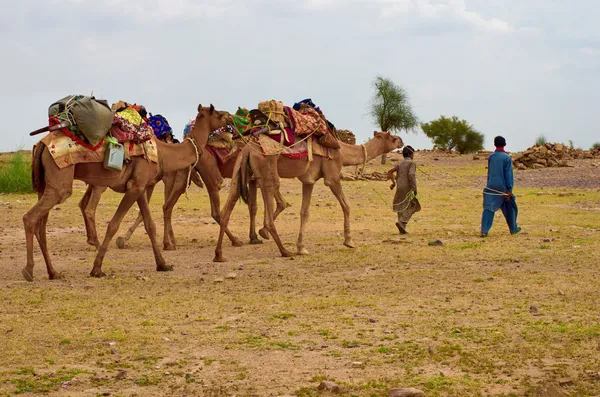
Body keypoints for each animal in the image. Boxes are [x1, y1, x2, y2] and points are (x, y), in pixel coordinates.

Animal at [22, 103, 230, 280]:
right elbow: (113, 225)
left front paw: (163, 264)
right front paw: (97, 269)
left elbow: (150, 226)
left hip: (46, 185)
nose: (230, 118)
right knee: (30, 218)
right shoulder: (135, 187)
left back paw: (53, 272)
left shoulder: (140, 186)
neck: (162, 152)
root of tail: (40, 145)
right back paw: (29, 270)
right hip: (60, 183)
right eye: (218, 114)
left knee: (41, 227)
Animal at [213, 129, 406, 260]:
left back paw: (219, 254)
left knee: (227, 209)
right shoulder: (332, 176)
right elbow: (346, 205)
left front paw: (301, 248)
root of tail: (248, 149)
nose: (402, 141)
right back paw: (284, 250)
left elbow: (304, 212)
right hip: (267, 170)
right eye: (392, 137)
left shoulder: (308, 181)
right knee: (269, 208)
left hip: (240, 170)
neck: (343, 152)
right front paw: (349, 241)